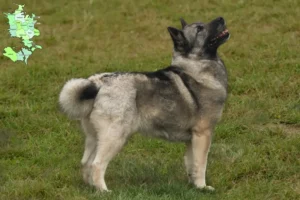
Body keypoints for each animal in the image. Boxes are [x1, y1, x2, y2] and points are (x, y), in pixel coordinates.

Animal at [58, 16, 230, 191]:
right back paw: (104, 191)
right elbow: (201, 164)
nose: (221, 18)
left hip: (95, 138)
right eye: (199, 29)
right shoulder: (203, 134)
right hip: (114, 137)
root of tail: (97, 83)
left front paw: (193, 186)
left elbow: (191, 164)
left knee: (86, 162)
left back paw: (92, 188)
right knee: (97, 164)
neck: (196, 66)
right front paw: (202, 187)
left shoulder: (191, 139)